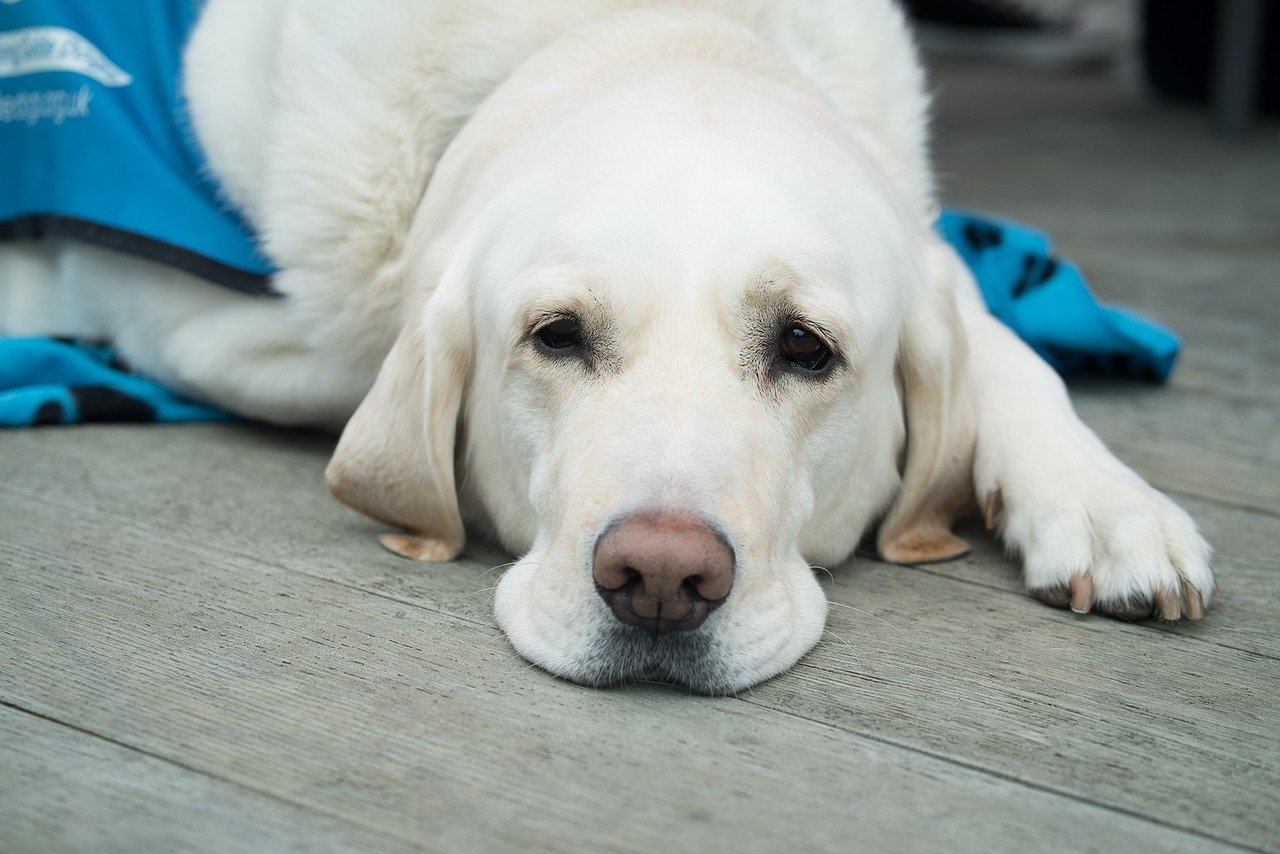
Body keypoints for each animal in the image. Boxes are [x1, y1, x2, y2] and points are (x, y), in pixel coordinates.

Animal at [0, 1, 1208, 696]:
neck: (642, 24)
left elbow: (1004, 348)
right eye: (556, 336)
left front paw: (1105, 502)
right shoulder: (204, 317)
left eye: (805, 348)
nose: (661, 577)